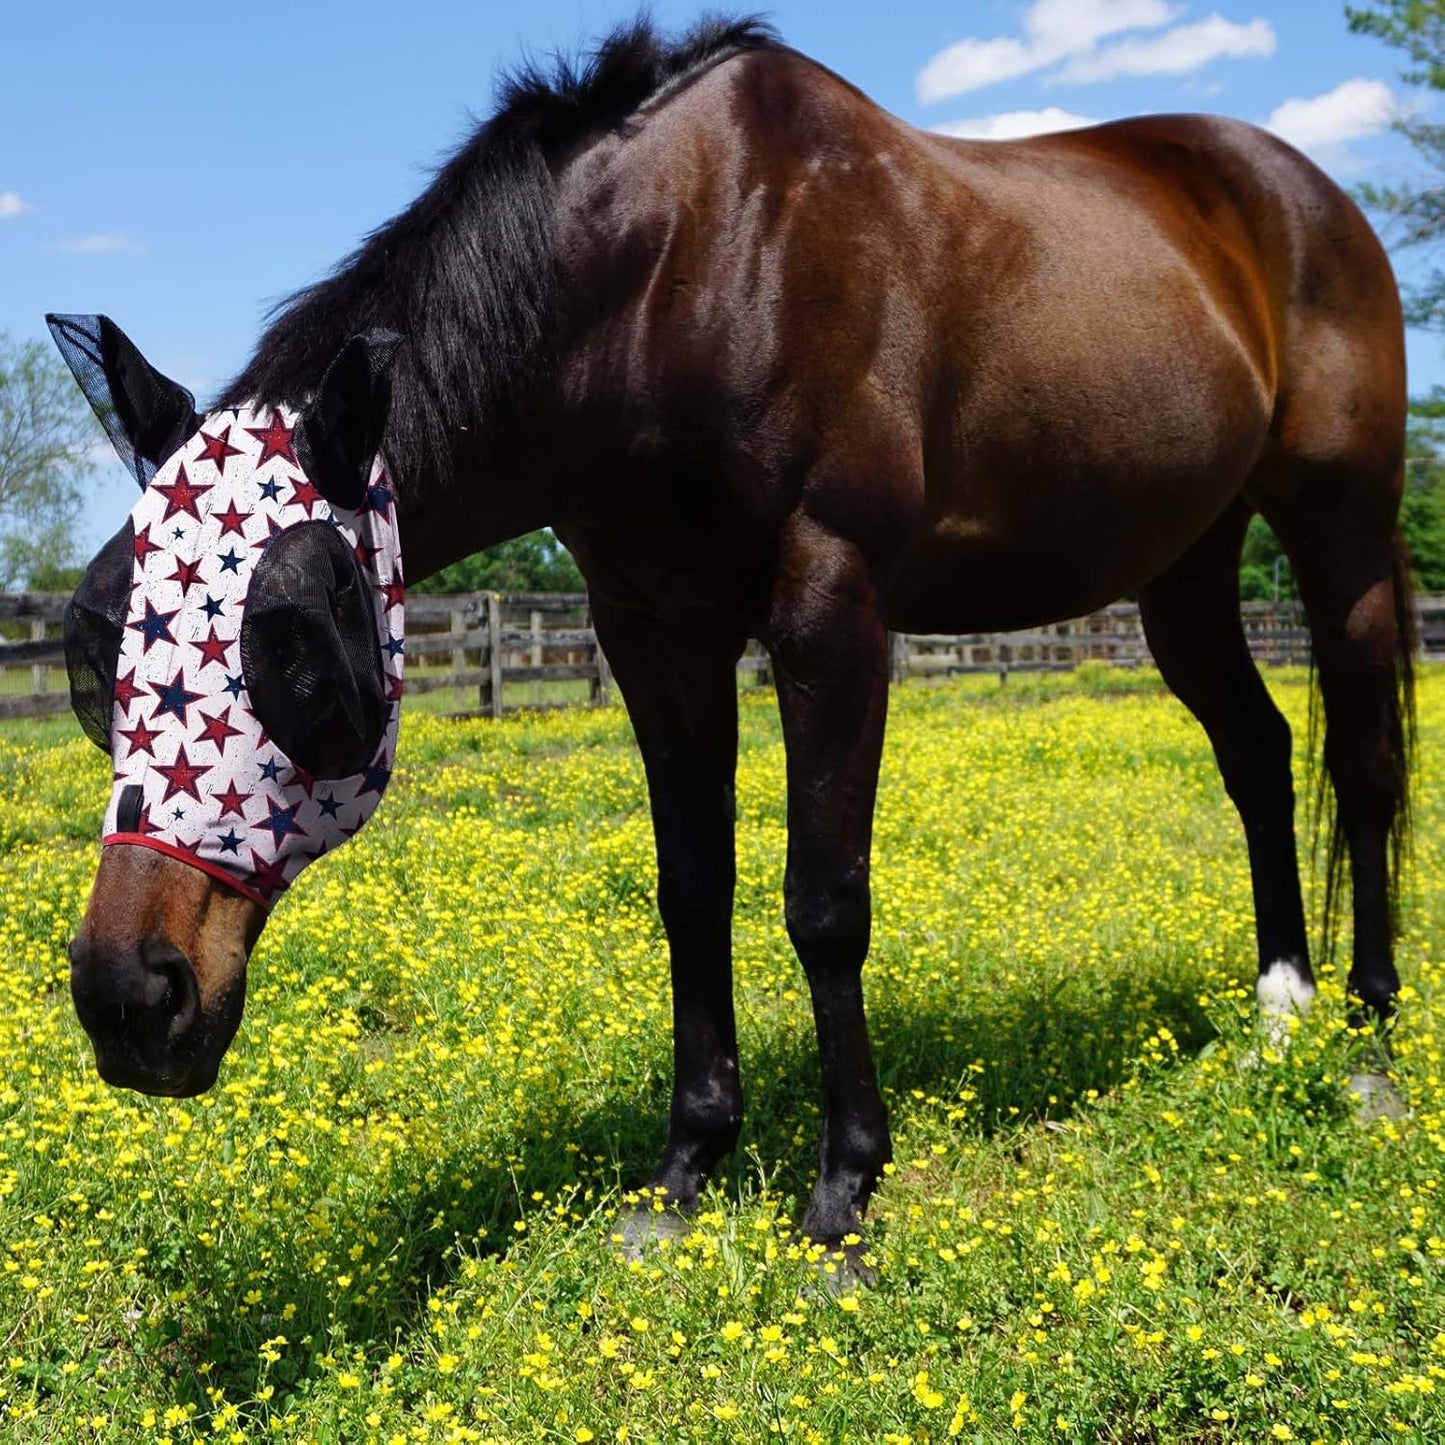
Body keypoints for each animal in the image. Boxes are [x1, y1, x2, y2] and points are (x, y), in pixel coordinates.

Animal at [54, 16, 1414, 1256]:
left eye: (297, 640)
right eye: (96, 643)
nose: (129, 995)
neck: (681, 274)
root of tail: (1301, 192)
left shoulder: (832, 610)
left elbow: (823, 900)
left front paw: (843, 1186)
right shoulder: (655, 633)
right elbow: (690, 888)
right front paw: (684, 1169)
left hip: (1338, 532)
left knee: (1360, 767)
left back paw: (1366, 1045)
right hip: (1184, 564)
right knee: (1256, 752)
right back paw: (1279, 1012)